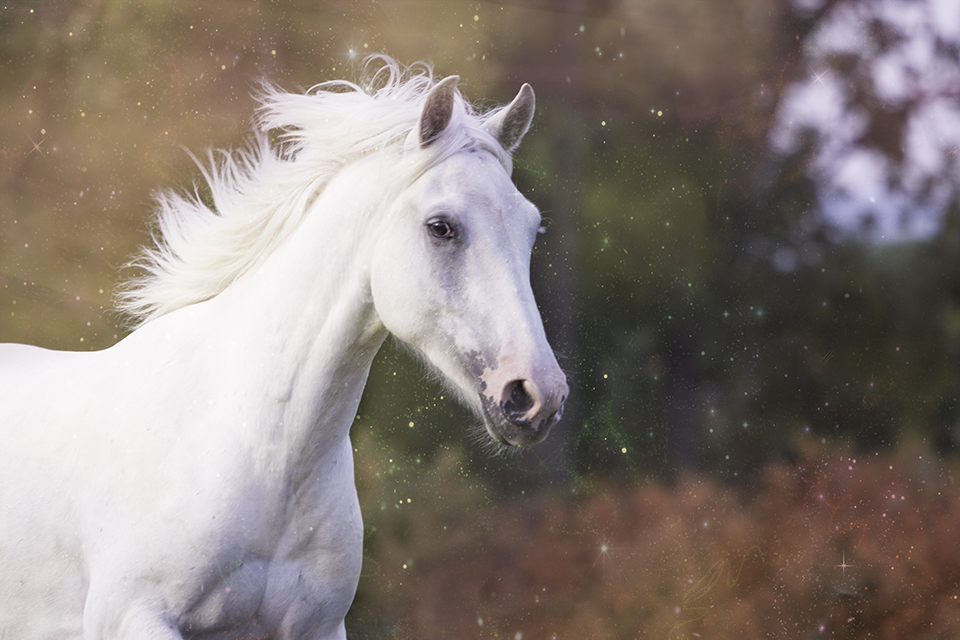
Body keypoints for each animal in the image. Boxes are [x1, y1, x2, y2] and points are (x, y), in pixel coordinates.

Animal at [0, 57, 568, 636]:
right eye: (441, 227)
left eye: (532, 229)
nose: (536, 395)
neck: (259, 450)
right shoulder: (133, 618)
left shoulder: (318, 626)